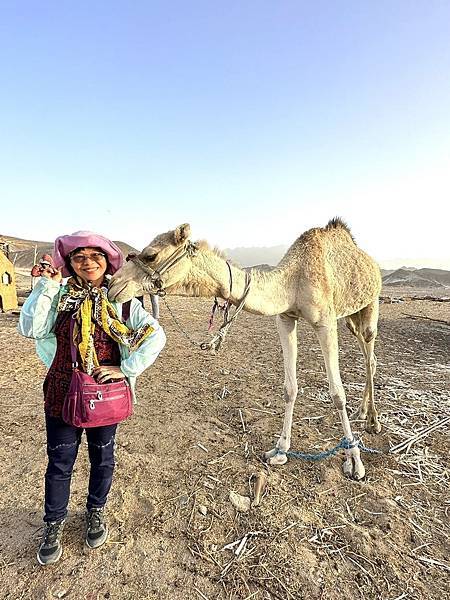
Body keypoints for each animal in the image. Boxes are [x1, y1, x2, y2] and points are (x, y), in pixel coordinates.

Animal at [107, 218, 382, 480]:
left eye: (151, 255)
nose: (113, 285)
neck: (293, 282)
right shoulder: (285, 318)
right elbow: (290, 388)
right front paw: (280, 450)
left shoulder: (325, 321)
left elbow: (337, 393)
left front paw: (354, 458)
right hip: (350, 317)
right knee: (366, 351)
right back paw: (362, 411)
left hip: (370, 303)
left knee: (370, 356)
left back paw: (373, 421)